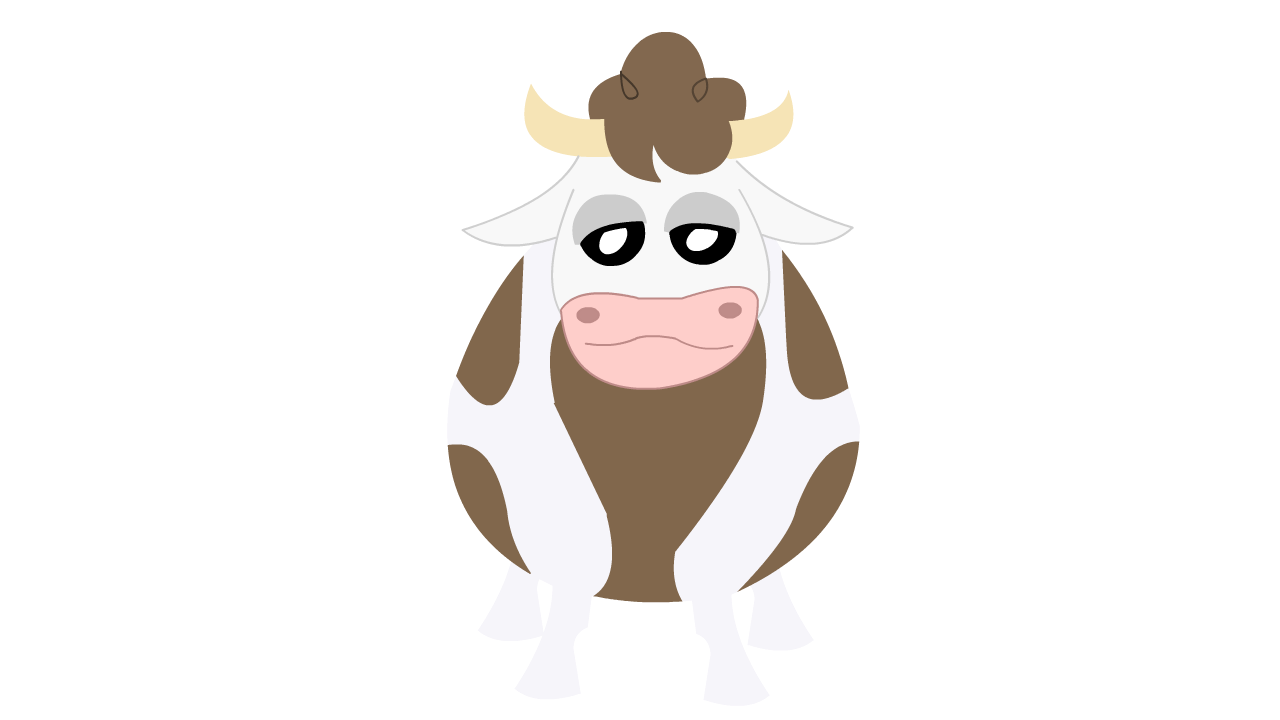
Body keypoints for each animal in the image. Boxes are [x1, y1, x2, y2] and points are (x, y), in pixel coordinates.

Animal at [446, 32, 859, 706]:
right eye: (612, 241)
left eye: (703, 240)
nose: (660, 314)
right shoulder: (536, 473)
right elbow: (569, 582)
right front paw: (546, 682)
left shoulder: (771, 477)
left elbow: (717, 586)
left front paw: (738, 686)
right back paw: (506, 626)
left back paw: (784, 634)